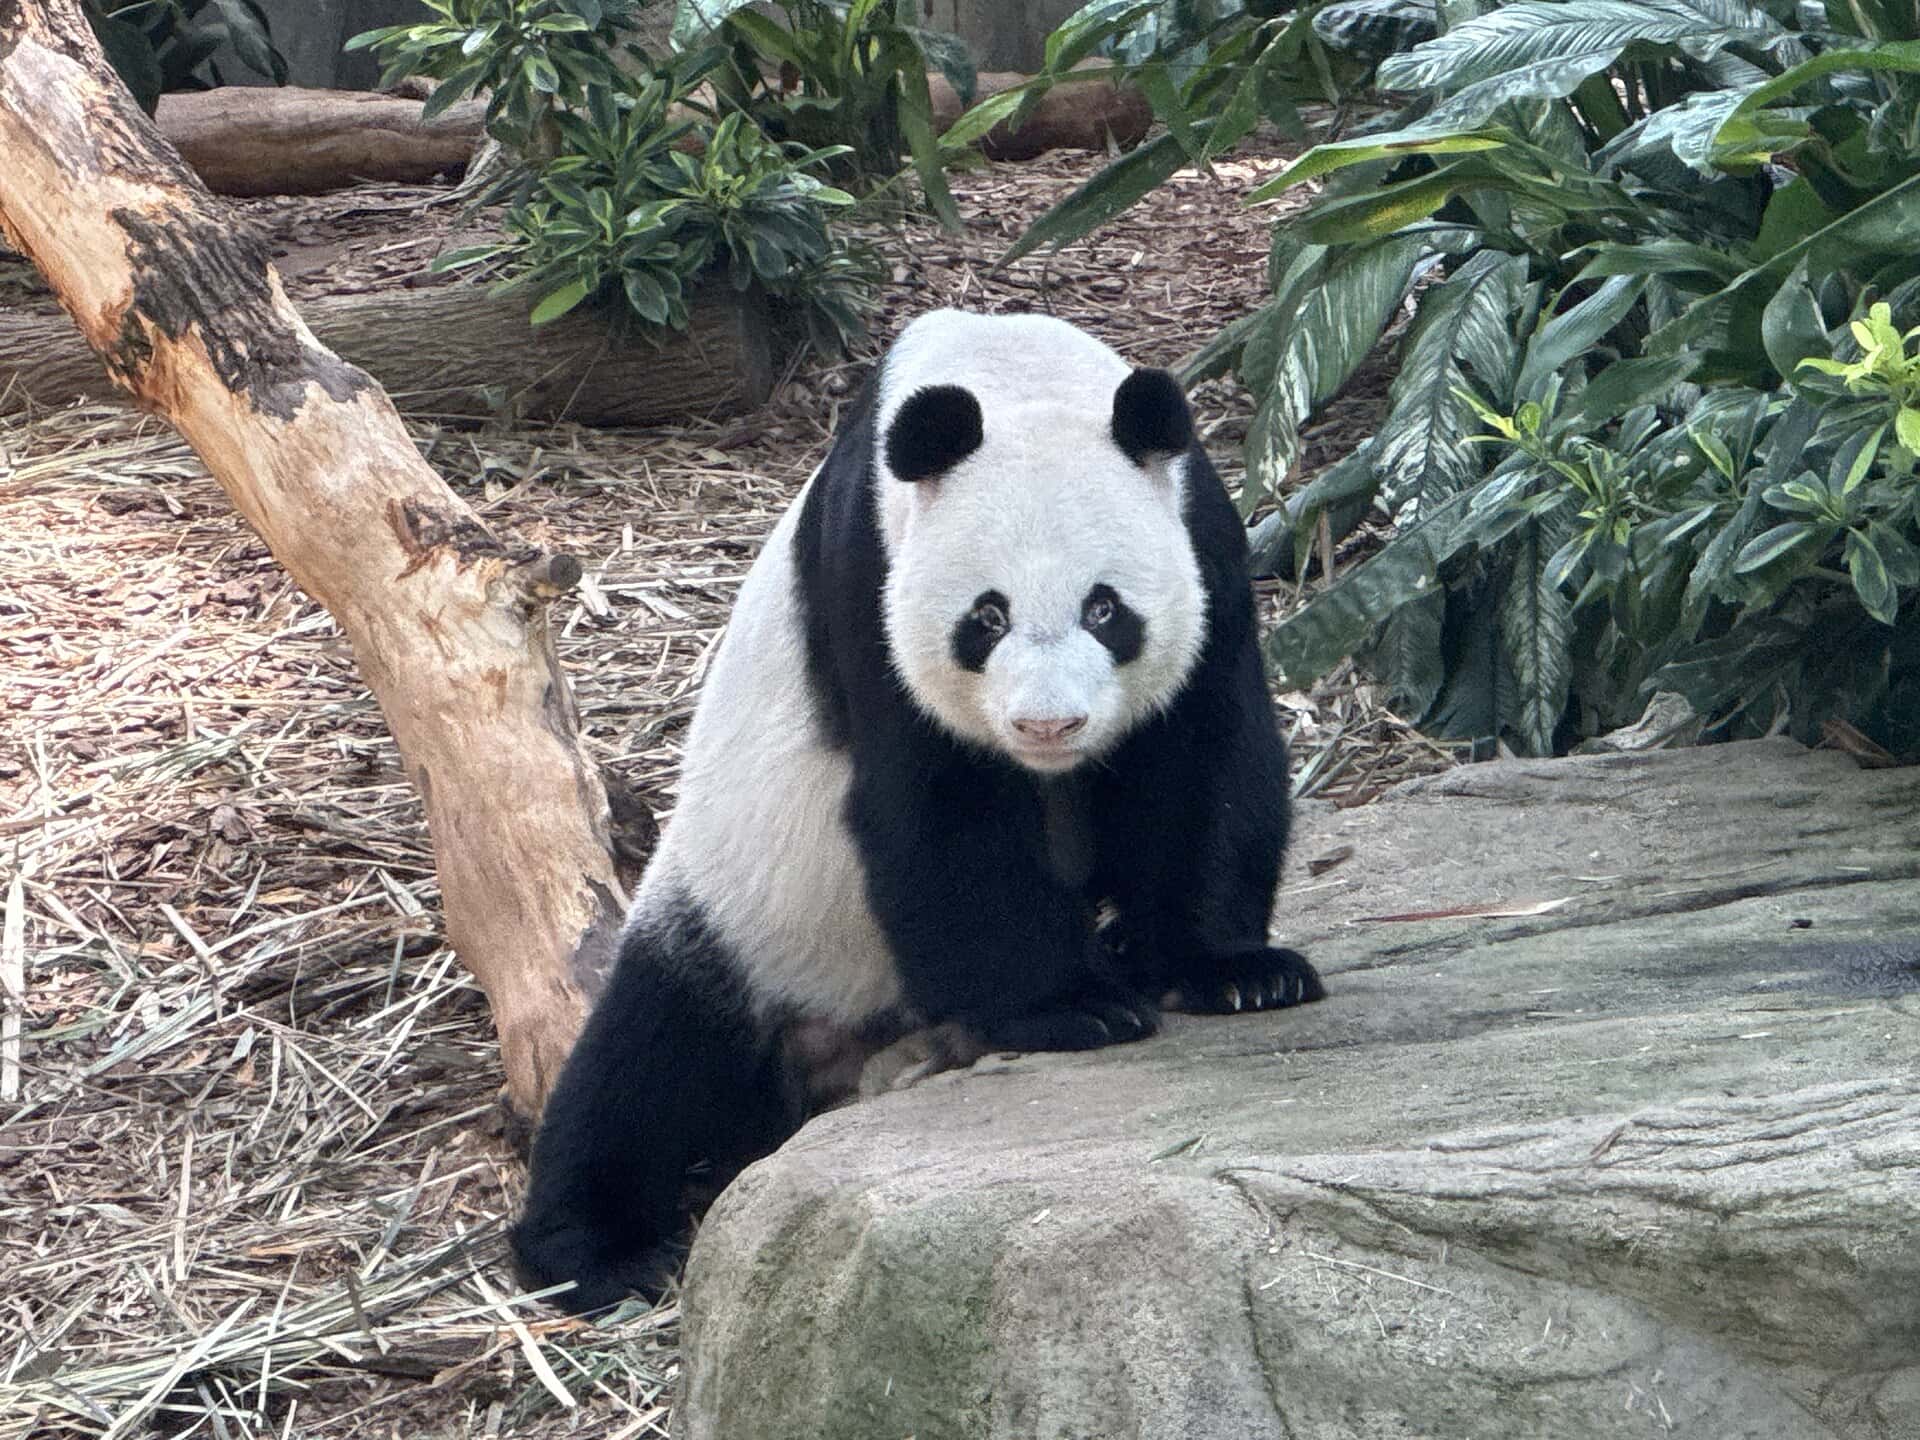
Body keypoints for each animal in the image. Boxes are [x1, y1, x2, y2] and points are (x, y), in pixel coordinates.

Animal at [511, 309, 1324, 1313]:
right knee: (647, 1060)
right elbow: (938, 804)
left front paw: (1233, 971)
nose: (1047, 723)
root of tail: (833, 1060)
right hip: (740, 916)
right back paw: (595, 1248)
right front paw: (1070, 1008)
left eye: (1105, 610)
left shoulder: (1203, 542)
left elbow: (1200, 754)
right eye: (986, 618)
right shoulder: (869, 577)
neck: (1007, 376)